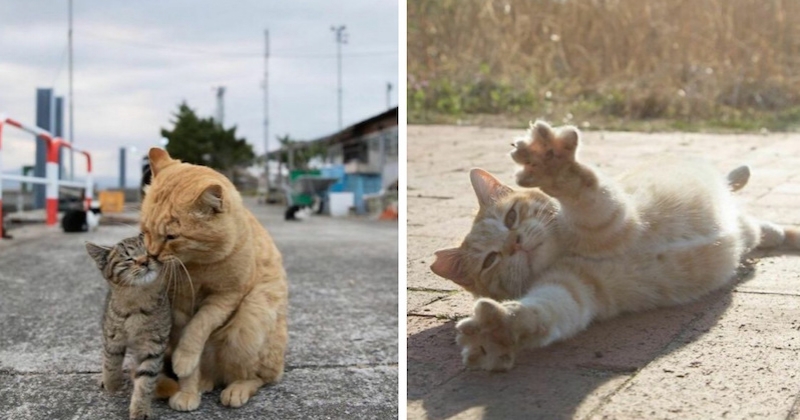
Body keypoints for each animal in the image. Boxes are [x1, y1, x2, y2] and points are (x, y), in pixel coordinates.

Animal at [142, 148, 290, 410]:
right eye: (146, 231)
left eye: (171, 236)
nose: (152, 254)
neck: (197, 266)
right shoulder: (177, 307)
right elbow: (187, 349)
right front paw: (188, 391)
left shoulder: (226, 296)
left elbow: (198, 328)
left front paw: (184, 361)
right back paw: (204, 383)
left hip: (254, 314)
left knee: (260, 377)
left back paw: (236, 389)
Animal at [432, 120, 800, 370]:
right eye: (490, 260)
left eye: (511, 217)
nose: (516, 245)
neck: (566, 250)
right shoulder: (571, 290)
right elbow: (542, 313)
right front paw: (498, 331)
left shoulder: (615, 217)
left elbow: (582, 191)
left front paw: (552, 163)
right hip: (741, 230)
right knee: (751, 227)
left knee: (746, 205)